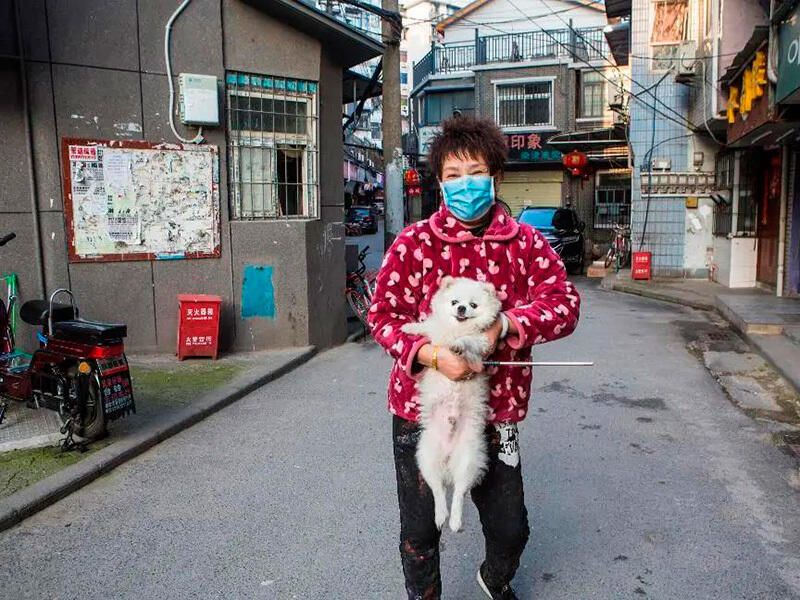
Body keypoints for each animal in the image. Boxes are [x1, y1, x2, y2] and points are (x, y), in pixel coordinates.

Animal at [404, 276, 504, 528]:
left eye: (473, 305)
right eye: (454, 302)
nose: (461, 309)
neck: (456, 328)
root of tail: (449, 455)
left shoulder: (479, 342)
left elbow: (468, 341)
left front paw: (459, 345)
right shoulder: (435, 333)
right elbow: (426, 325)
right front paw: (409, 327)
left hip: (468, 458)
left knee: (459, 491)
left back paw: (455, 521)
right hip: (427, 455)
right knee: (437, 489)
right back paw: (441, 515)